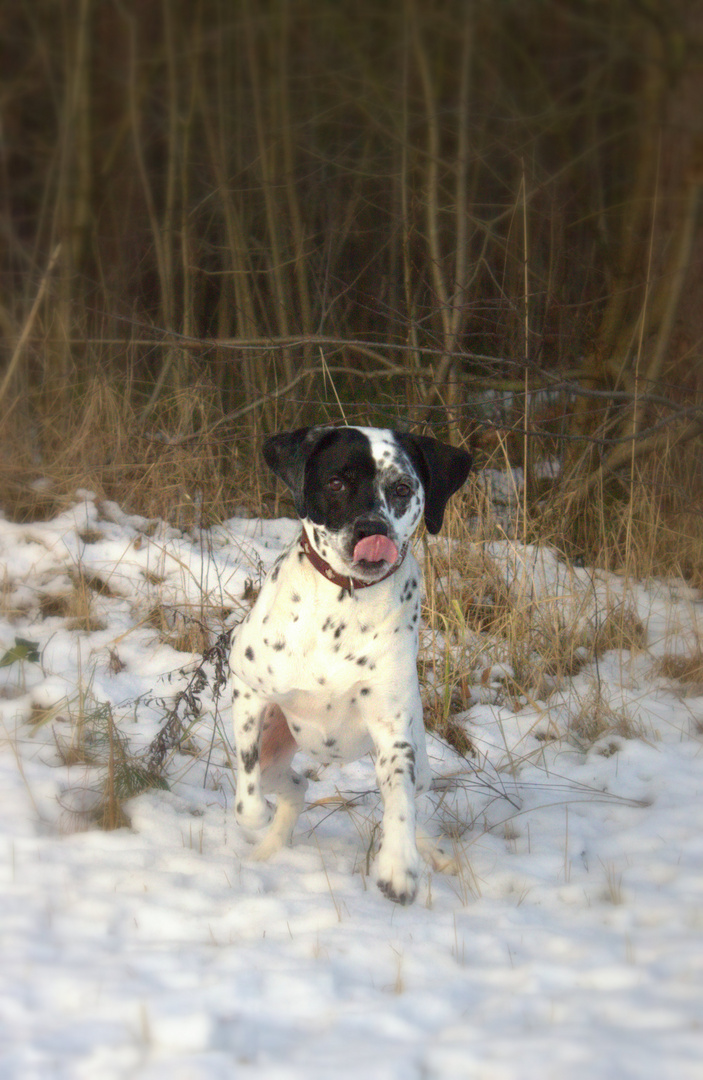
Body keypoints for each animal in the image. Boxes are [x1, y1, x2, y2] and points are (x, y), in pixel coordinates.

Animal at [231, 425, 472, 907]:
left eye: (402, 488)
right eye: (336, 482)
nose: (372, 529)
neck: (344, 601)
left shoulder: (393, 734)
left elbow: (400, 806)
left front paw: (398, 866)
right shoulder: (247, 689)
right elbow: (246, 805)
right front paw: (256, 820)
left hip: (416, 763)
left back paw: (434, 853)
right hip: (274, 752)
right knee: (293, 788)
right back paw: (268, 850)